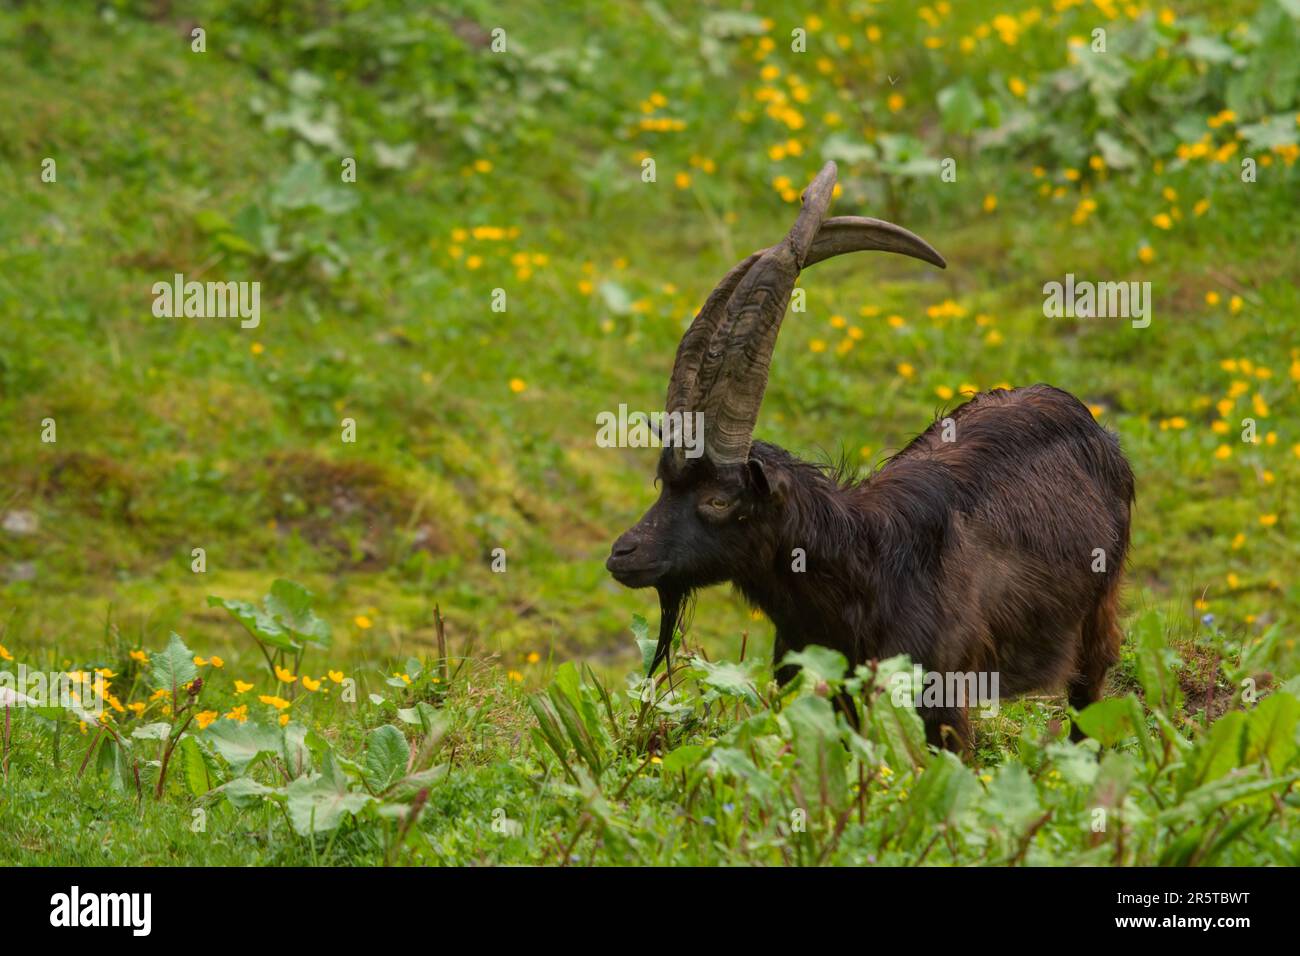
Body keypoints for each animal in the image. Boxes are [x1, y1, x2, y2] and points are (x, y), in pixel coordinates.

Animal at [603, 162, 1133, 749]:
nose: (623, 554)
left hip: (1098, 612)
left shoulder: (942, 697)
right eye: (662, 481)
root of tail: (1089, 422)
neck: (864, 564)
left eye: (719, 499)